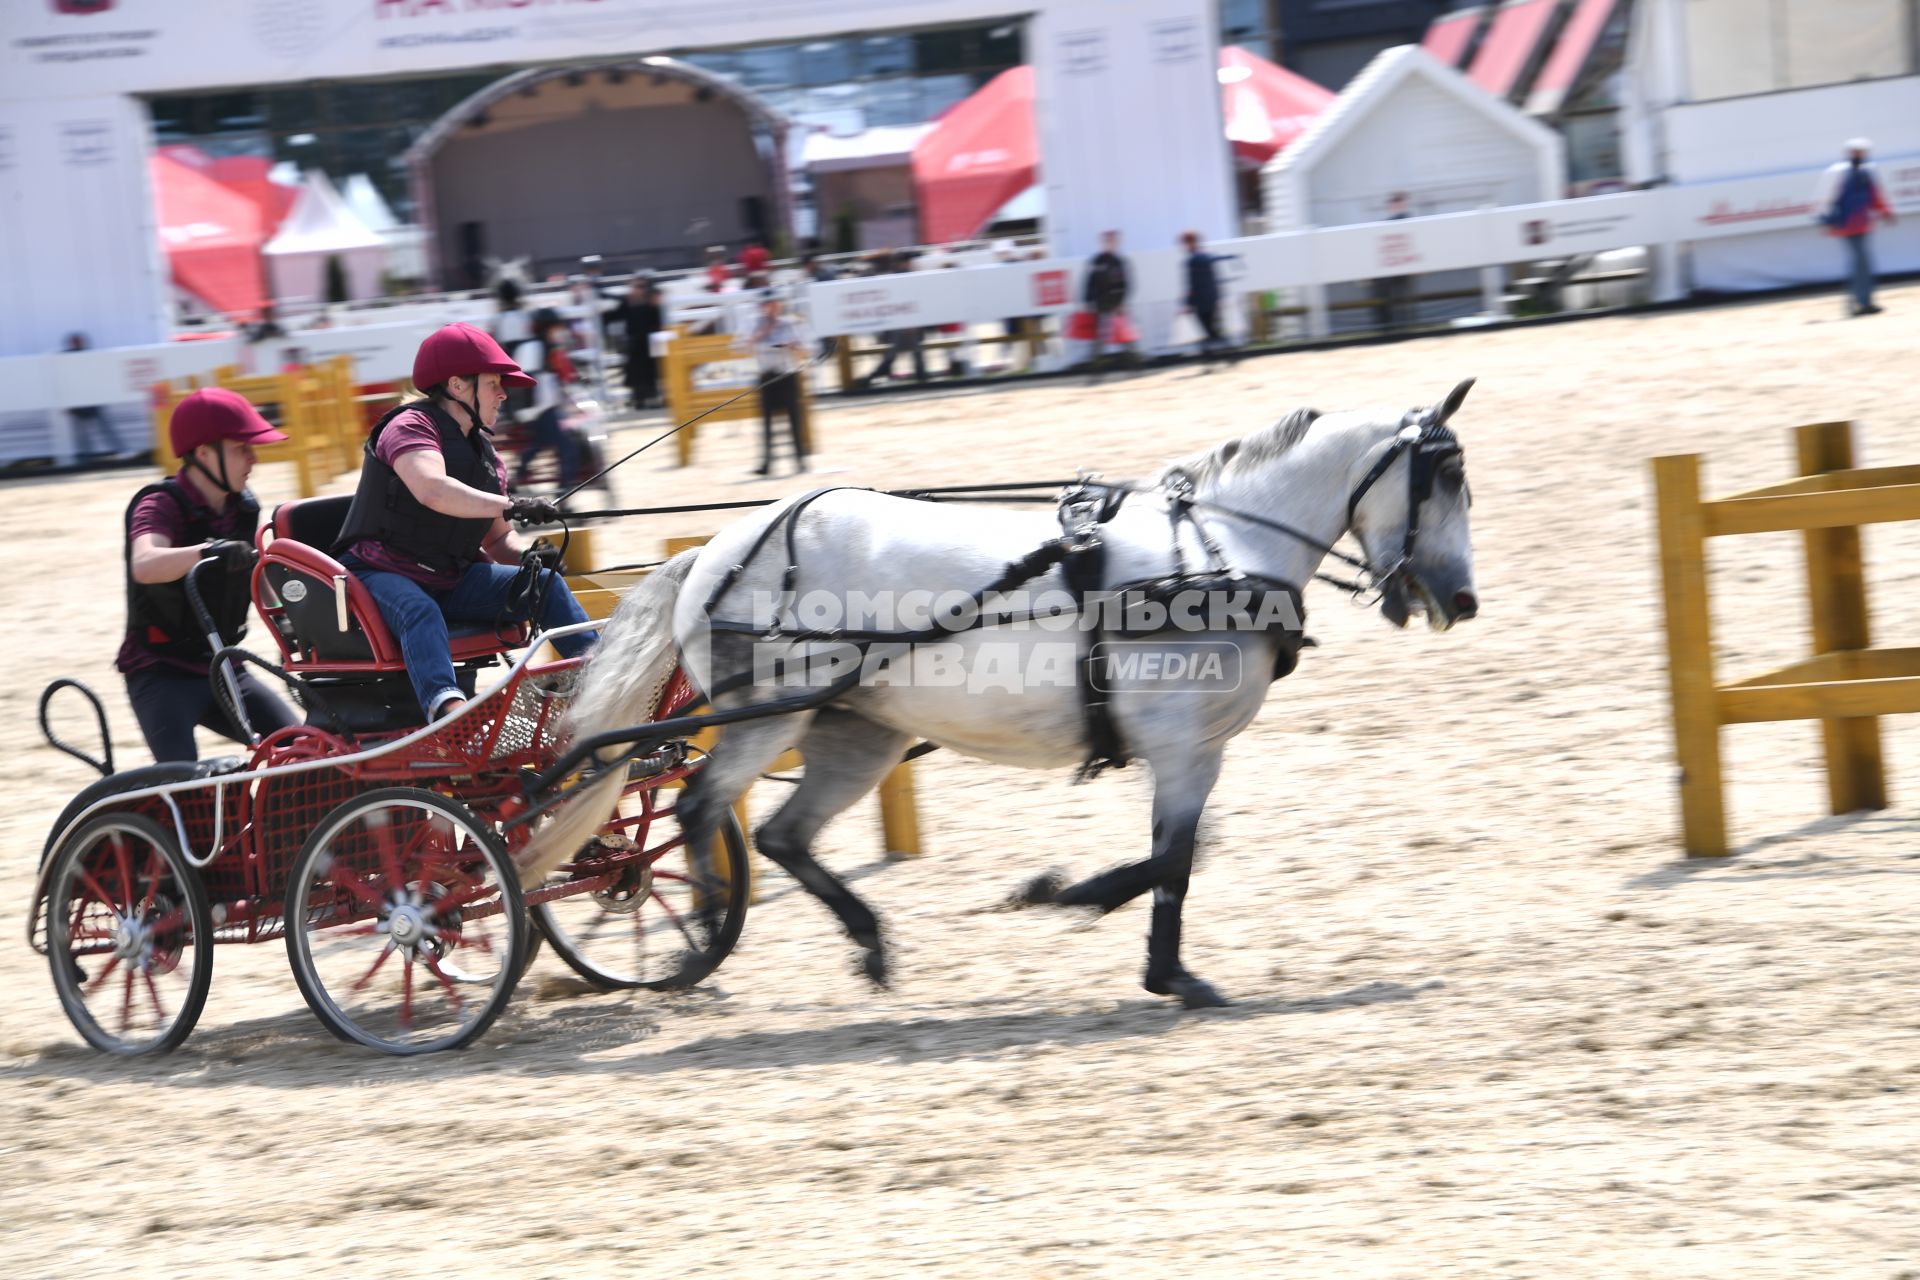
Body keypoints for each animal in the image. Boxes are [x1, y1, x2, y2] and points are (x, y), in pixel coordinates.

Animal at [526, 379, 1482, 1013]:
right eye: (1442, 478)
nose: (1462, 599)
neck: (1218, 555)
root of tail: (717, 548)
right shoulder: (1181, 746)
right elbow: (1175, 860)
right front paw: (1078, 906)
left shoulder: (1191, 752)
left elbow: (1183, 857)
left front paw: (1137, 946)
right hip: (776, 711)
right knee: (697, 807)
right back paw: (701, 924)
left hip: (856, 731)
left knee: (780, 835)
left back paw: (865, 943)